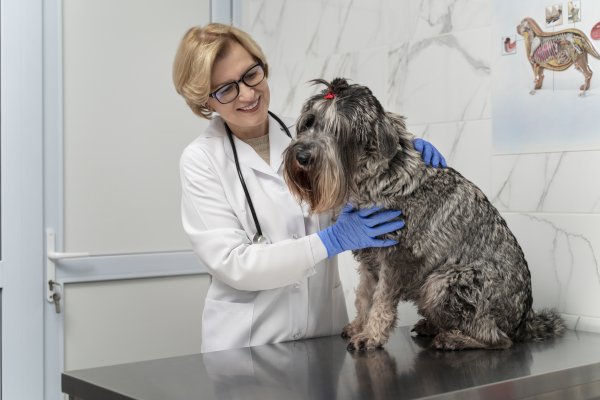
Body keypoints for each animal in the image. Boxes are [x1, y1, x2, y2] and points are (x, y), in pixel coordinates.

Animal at [284, 77, 564, 350]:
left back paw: (453, 339)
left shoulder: (397, 257)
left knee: (498, 339)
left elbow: (382, 300)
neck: (373, 176)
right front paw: (359, 326)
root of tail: (524, 321)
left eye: (338, 129)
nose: (302, 156)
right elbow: (364, 296)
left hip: (442, 281)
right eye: (309, 122)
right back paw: (432, 326)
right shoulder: (369, 254)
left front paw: (371, 335)